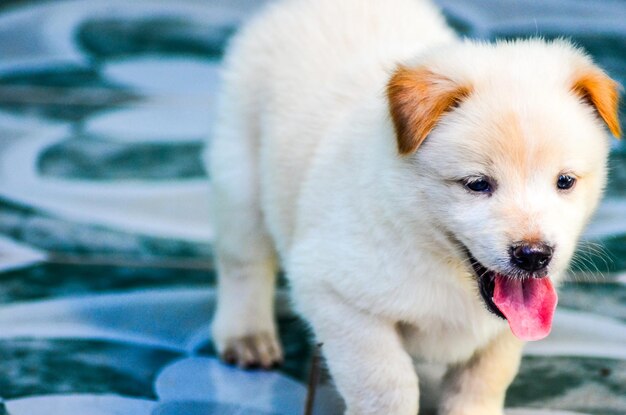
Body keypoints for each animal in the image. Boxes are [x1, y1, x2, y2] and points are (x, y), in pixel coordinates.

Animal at [206, 0, 620, 414]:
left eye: (564, 182)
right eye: (477, 184)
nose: (534, 256)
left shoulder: (511, 324)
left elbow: (483, 379)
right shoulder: (337, 296)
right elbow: (386, 384)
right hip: (240, 179)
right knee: (244, 265)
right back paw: (248, 336)